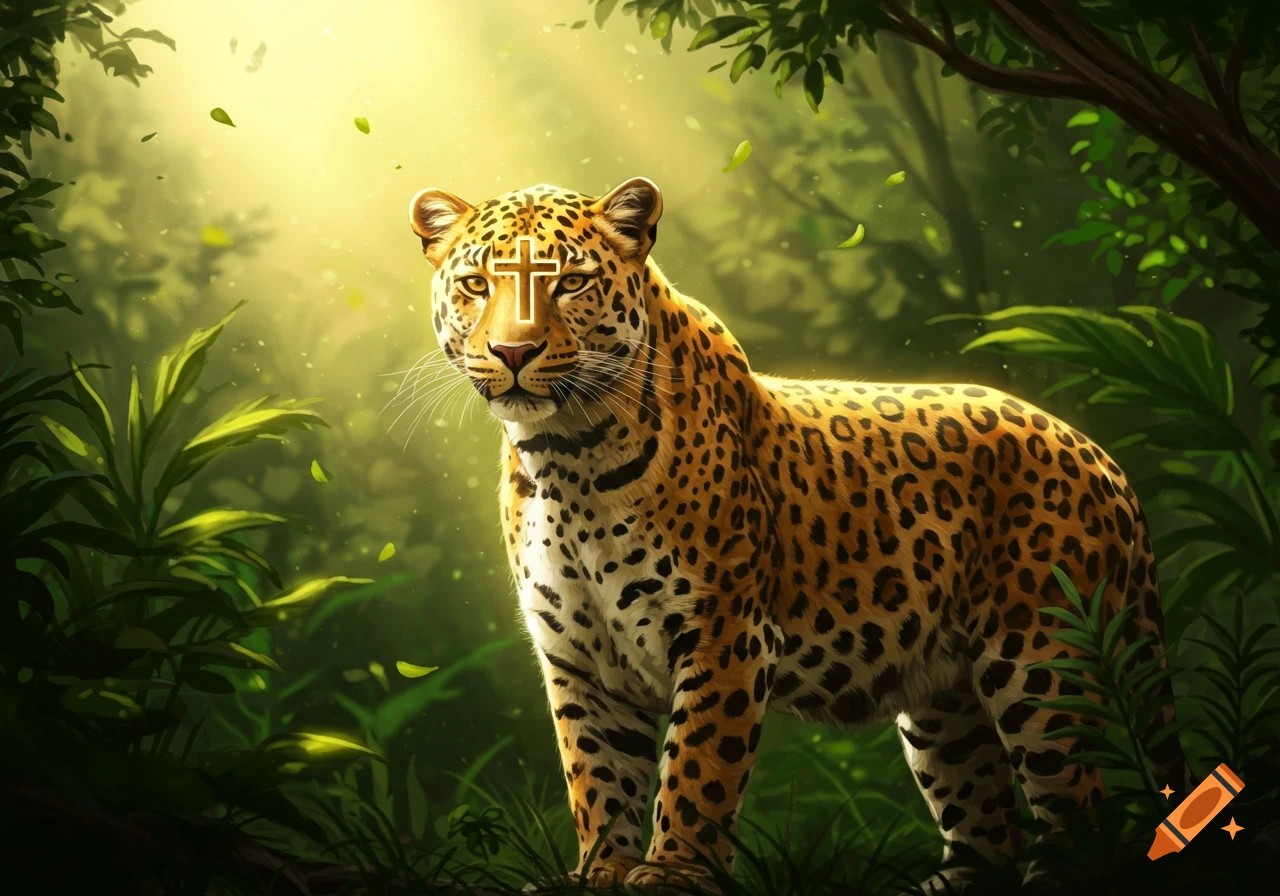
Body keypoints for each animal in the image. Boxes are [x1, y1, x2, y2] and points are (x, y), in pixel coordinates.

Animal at [406, 177, 1179, 891]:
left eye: (570, 283)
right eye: (475, 284)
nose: (512, 352)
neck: (565, 457)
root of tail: (1100, 457)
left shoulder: (723, 633)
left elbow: (697, 769)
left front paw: (674, 872)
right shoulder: (579, 657)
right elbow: (598, 776)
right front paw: (603, 871)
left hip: (1040, 665)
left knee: (1083, 809)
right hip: (946, 702)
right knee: (987, 824)